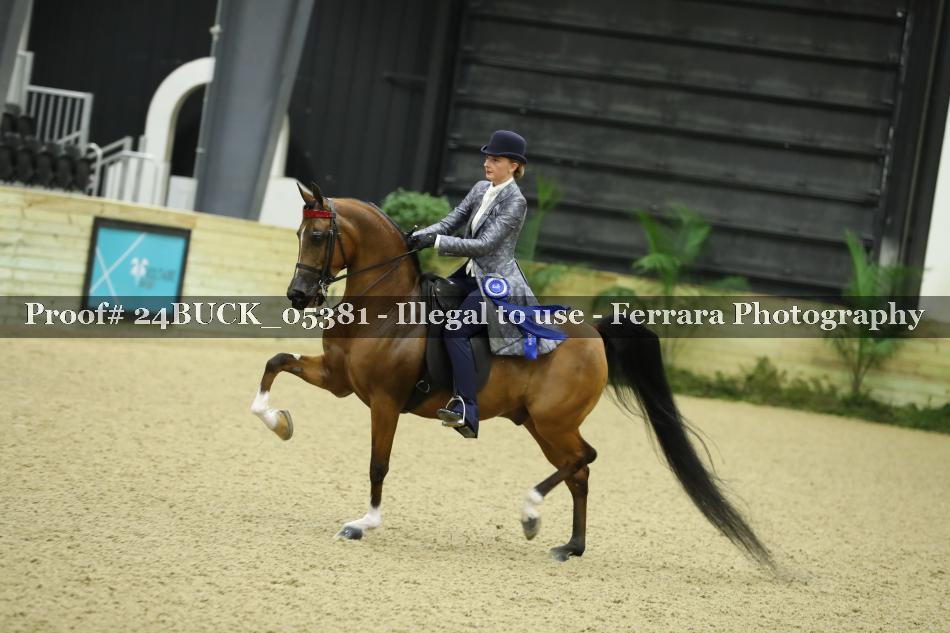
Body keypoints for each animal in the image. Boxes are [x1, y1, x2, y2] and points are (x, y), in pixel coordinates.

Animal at [251, 182, 773, 566]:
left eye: (320, 237)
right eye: (299, 234)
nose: (299, 295)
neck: (385, 311)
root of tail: (594, 332)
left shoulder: (384, 401)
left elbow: (378, 464)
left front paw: (364, 524)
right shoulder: (339, 380)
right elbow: (276, 363)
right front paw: (278, 423)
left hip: (553, 421)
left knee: (584, 458)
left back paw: (530, 515)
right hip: (538, 423)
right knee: (580, 470)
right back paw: (570, 547)